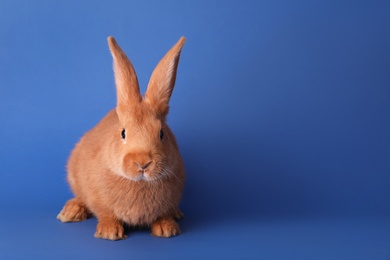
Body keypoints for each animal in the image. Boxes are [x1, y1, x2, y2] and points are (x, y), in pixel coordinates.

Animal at [57, 35, 187, 241]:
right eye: (123, 133)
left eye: (162, 133)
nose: (143, 163)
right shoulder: (98, 199)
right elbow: (106, 213)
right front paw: (109, 233)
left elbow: (163, 214)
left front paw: (167, 229)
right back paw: (71, 212)